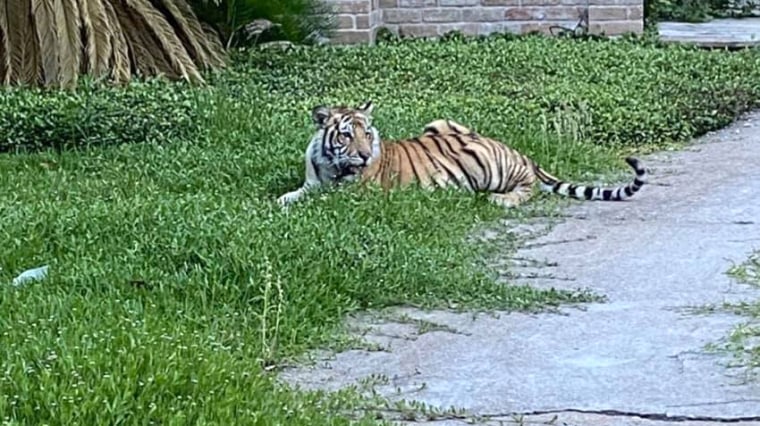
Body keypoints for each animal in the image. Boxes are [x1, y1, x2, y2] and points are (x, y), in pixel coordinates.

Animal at [278, 102, 648, 209]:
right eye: (346, 135)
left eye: (367, 134)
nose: (366, 156)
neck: (330, 164)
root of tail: (522, 153)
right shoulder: (312, 183)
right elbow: (291, 195)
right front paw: (279, 201)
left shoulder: (354, 194)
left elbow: (320, 201)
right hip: (440, 123)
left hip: (491, 166)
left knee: (528, 189)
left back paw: (501, 200)